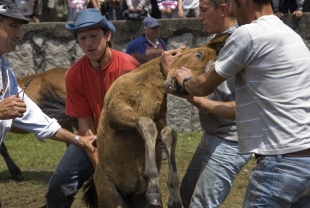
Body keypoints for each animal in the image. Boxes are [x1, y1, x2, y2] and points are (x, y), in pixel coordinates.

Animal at [82, 33, 230, 207]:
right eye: (198, 55)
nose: (180, 86)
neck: (146, 85)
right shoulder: (117, 112)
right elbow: (147, 125)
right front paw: (153, 187)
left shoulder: (160, 121)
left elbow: (169, 133)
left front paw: (174, 196)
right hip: (112, 197)